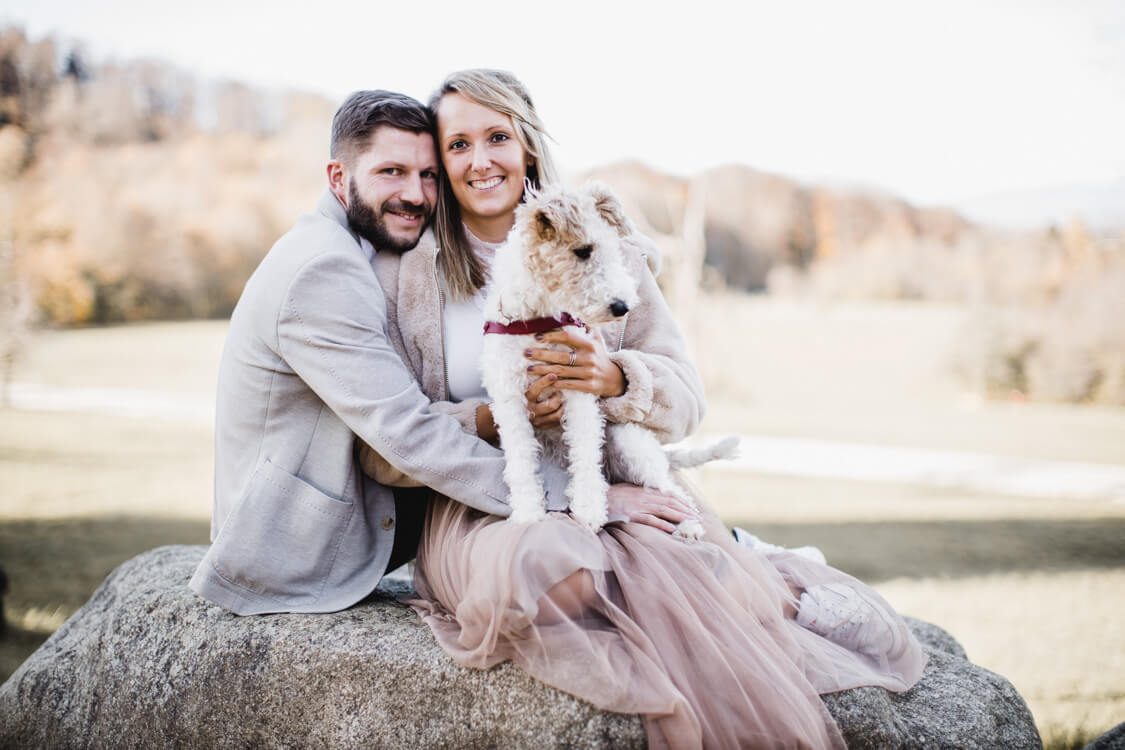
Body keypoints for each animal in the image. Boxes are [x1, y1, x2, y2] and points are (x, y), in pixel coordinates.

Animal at [477, 181, 733, 532]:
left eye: (611, 249)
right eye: (583, 250)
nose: (622, 307)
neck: (537, 317)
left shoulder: (579, 390)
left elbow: (585, 456)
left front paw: (589, 512)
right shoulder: (510, 399)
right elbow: (520, 461)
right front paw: (528, 514)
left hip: (630, 441)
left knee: (671, 492)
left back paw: (689, 527)